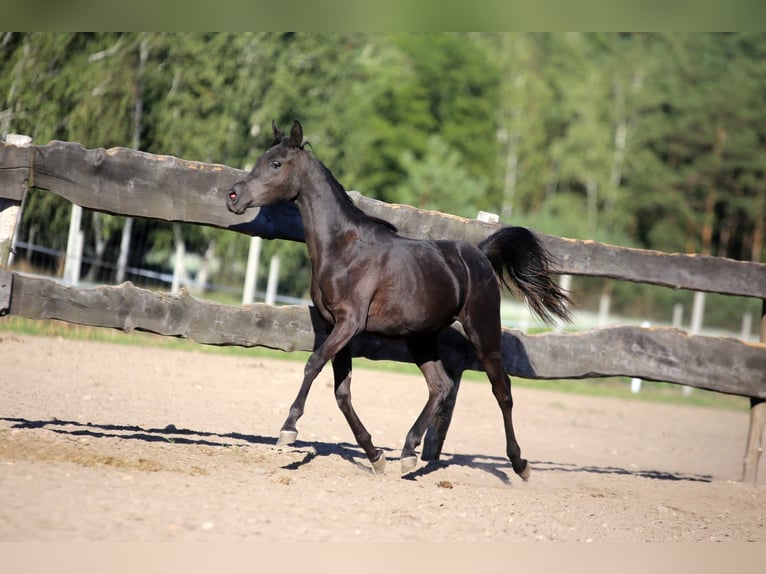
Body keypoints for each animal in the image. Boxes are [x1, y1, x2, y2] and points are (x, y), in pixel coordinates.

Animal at [226, 120, 571, 479]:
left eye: (276, 163)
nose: (233, 196)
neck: (343, 249)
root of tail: (480, 254)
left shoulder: (349, 323)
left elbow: (313, 364)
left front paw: (288, 429)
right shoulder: (335, 326)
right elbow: (342, 392)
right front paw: (375, 455)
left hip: (483, 331)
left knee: (502, 390)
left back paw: (519, 464)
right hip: (422, 338)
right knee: (441, 386)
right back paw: (408, 453)